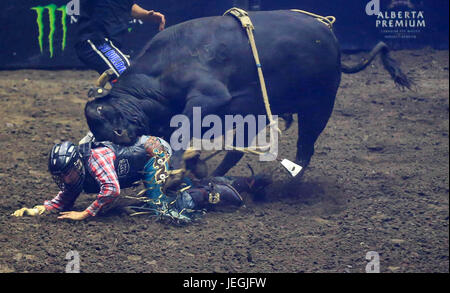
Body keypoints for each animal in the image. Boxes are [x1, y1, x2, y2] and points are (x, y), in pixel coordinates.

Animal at [83, 9, 412, 176]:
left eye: (102, 110)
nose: (121, 133)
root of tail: (330, 38)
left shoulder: (209, 96)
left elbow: (183, 127)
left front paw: (177, 168)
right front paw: (193, 165)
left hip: (319, 106)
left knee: (305, 148)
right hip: (261, 115)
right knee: (238, 153)